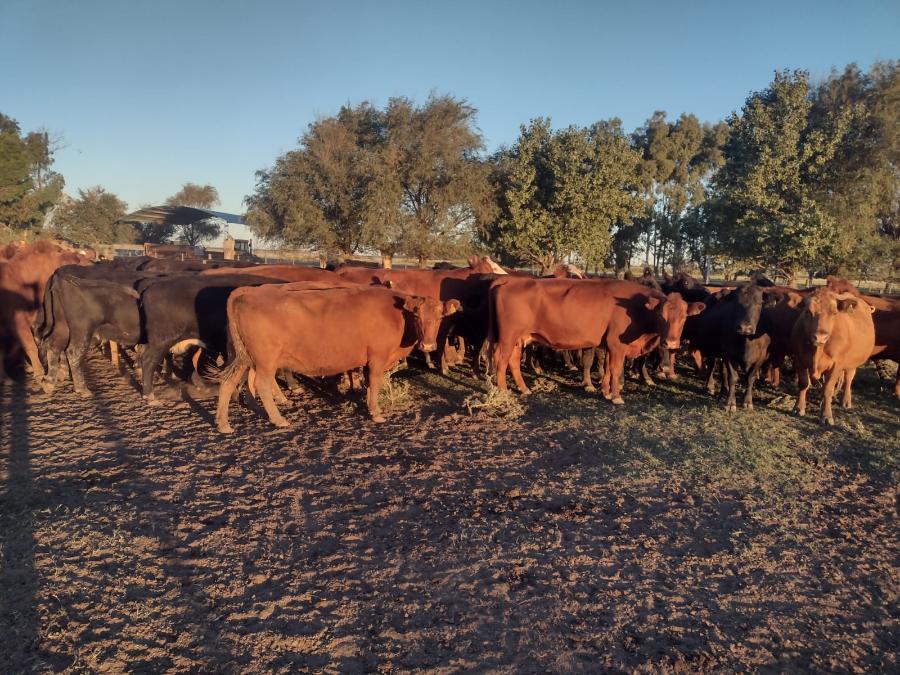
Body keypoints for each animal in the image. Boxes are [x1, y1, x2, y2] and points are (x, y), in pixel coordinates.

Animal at [215, 284, 461, 432]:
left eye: (440, 317)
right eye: (417, 316)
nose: (428, 345)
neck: (397, 315)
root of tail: (249, 292)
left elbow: (367, 384)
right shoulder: (377, 358)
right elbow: (374, 383)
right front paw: (376, 413)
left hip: (242, 358)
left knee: (228, 383)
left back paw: (223, 423)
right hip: (265, 361)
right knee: (262, 384)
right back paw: (278, 418)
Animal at [792, 287, 876, 425]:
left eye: (834, 313)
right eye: (808, 312)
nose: (820, 337)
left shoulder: (836, 365)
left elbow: (828, 389)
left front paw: (826, 416)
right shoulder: (799, 359)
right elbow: (804, 383)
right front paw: (799, 408)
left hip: (851, 363)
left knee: (848, 379)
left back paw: (846, 401)